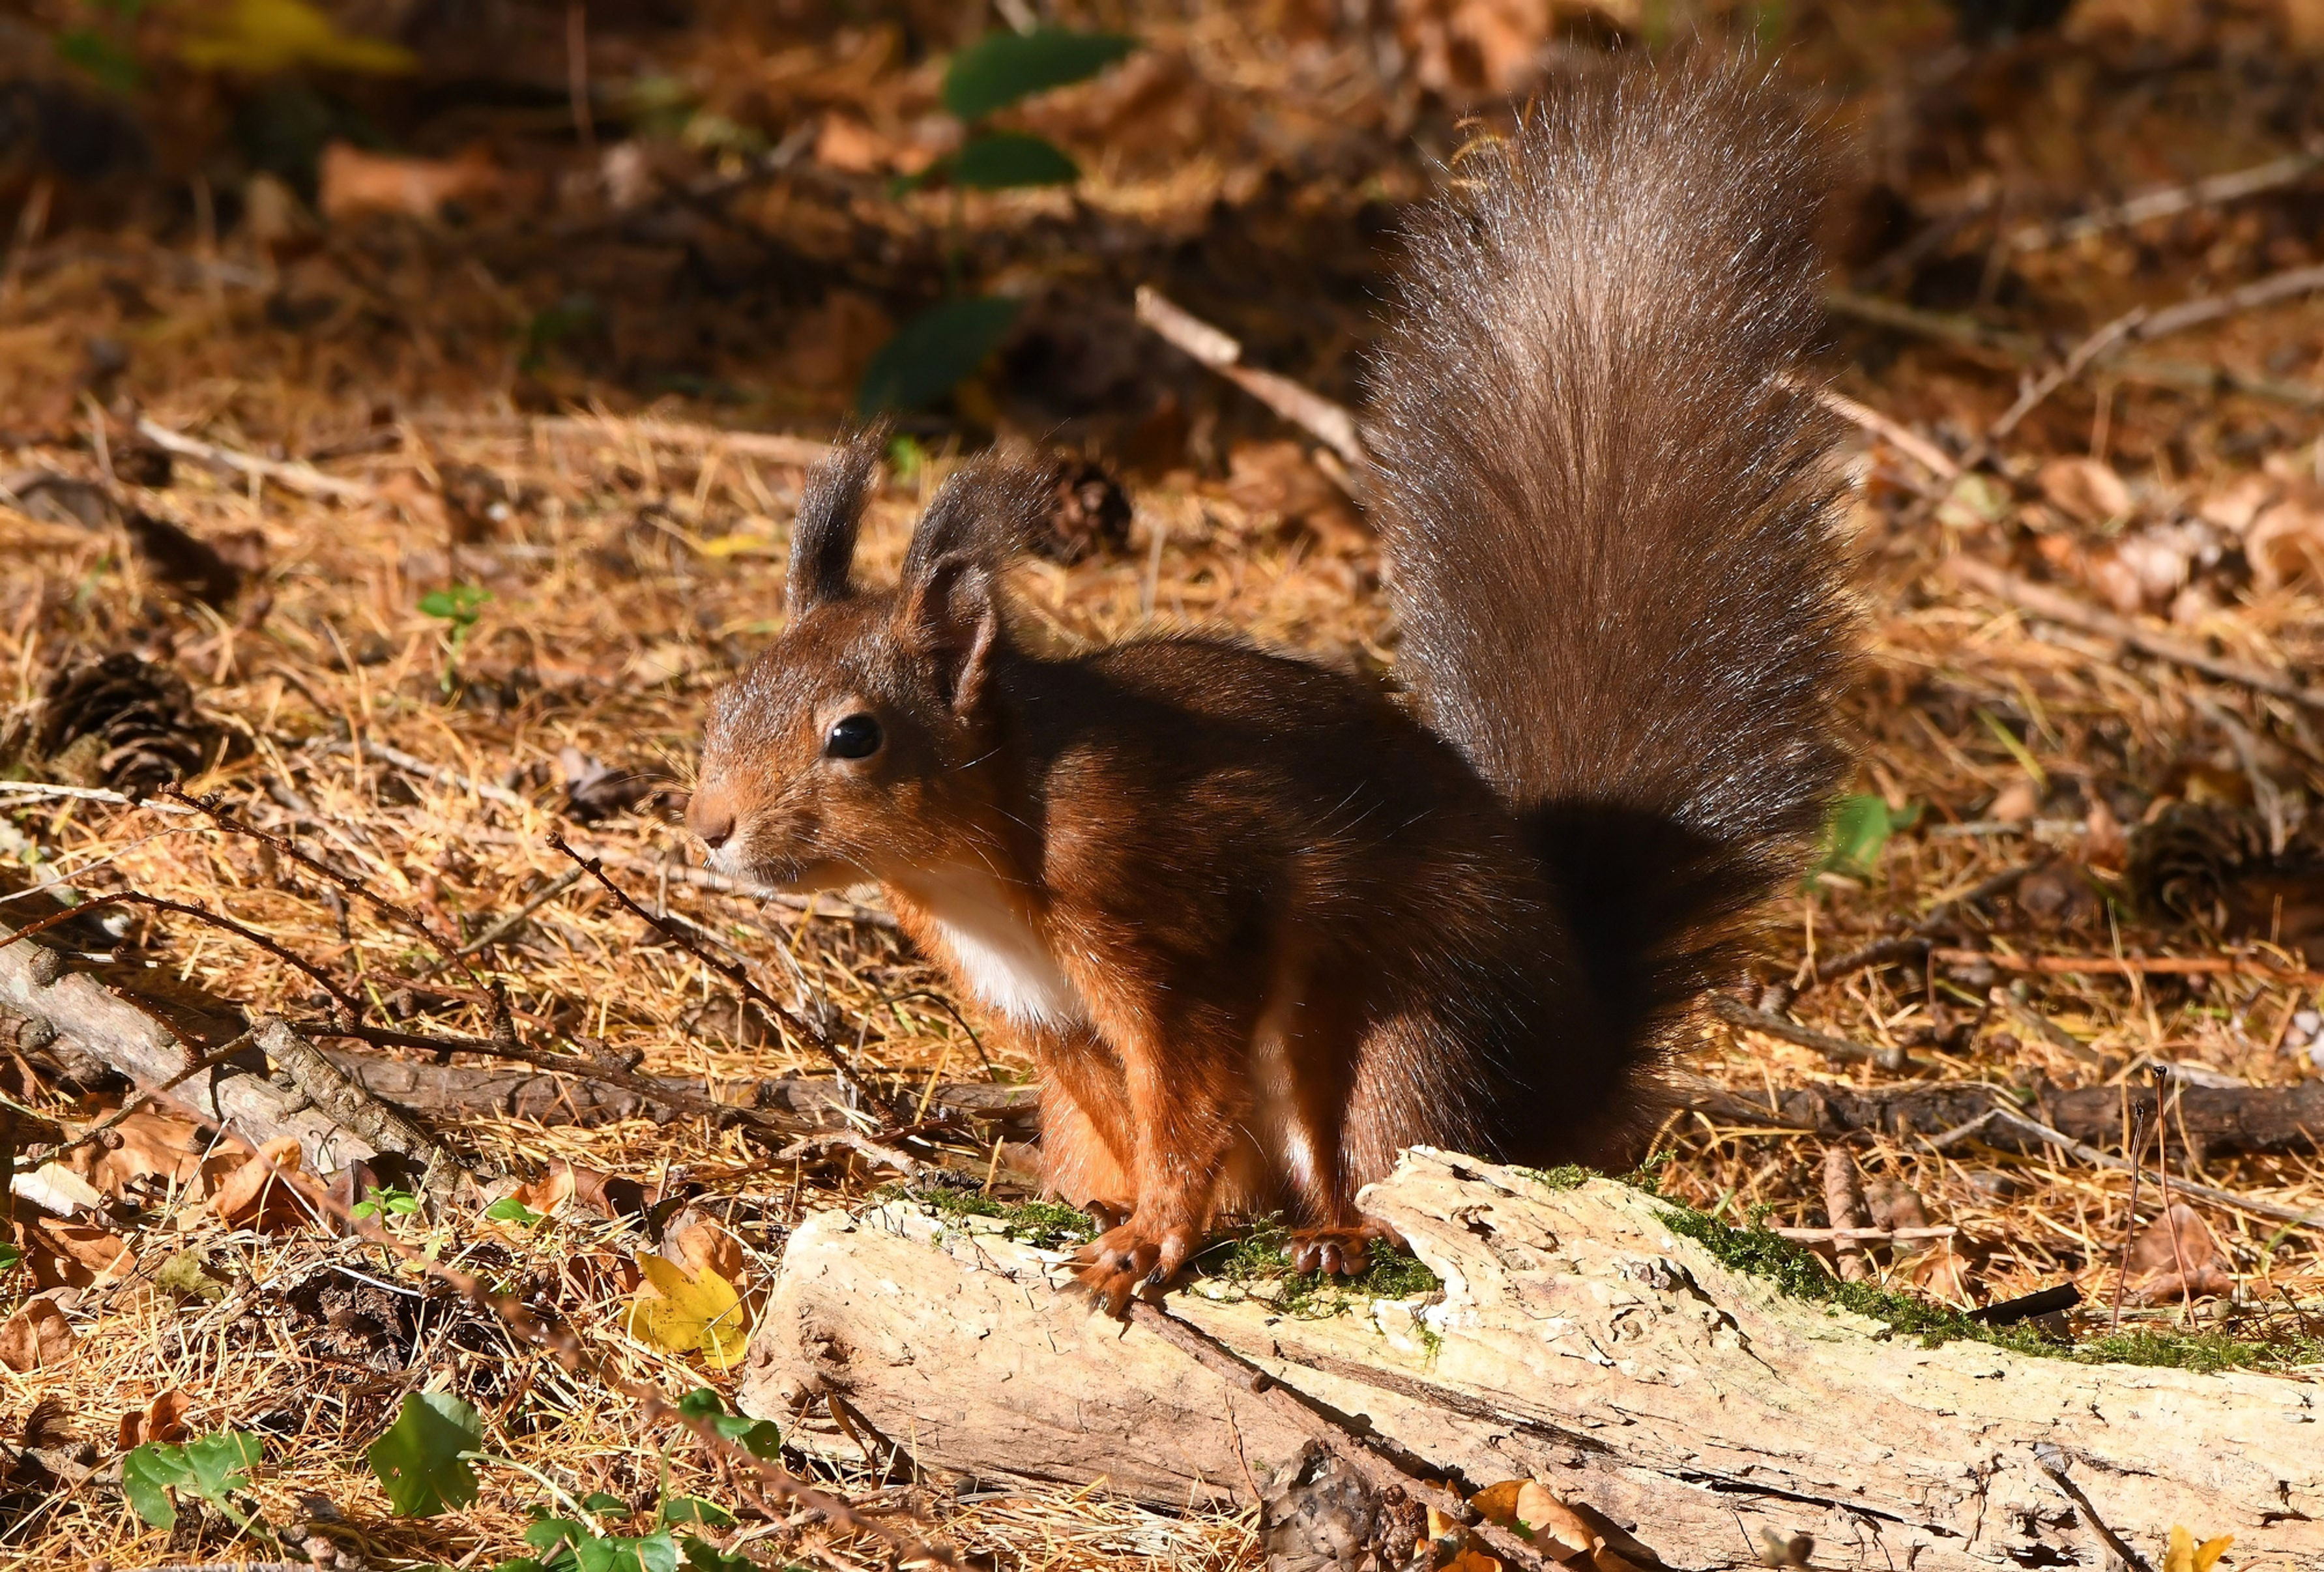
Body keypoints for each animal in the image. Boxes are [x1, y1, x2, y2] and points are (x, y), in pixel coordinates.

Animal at [687, 62, 1855, 1313]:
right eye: (725, 701)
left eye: (854, 736)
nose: (708, 828)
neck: (973, 861)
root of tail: (1571, 1064)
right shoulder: (1043, 1016)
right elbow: (1139, 1116)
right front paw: (1131, 1212)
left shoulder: (1171, 916)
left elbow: (1187, 1095)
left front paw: (1151, 1237)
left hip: (1406, 1037)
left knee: (1409, 1160)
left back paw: (1345, 1233)